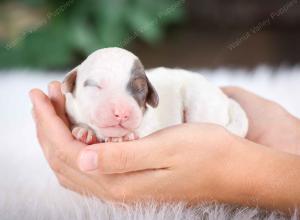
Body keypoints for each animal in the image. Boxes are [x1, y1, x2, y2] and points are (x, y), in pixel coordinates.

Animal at [61, 47, 248, 144]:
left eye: (139, 89)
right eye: (95, 85)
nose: (122, 112)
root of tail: (227, 100)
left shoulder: (151, 122)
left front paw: (131, 135)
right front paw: (84, 131)